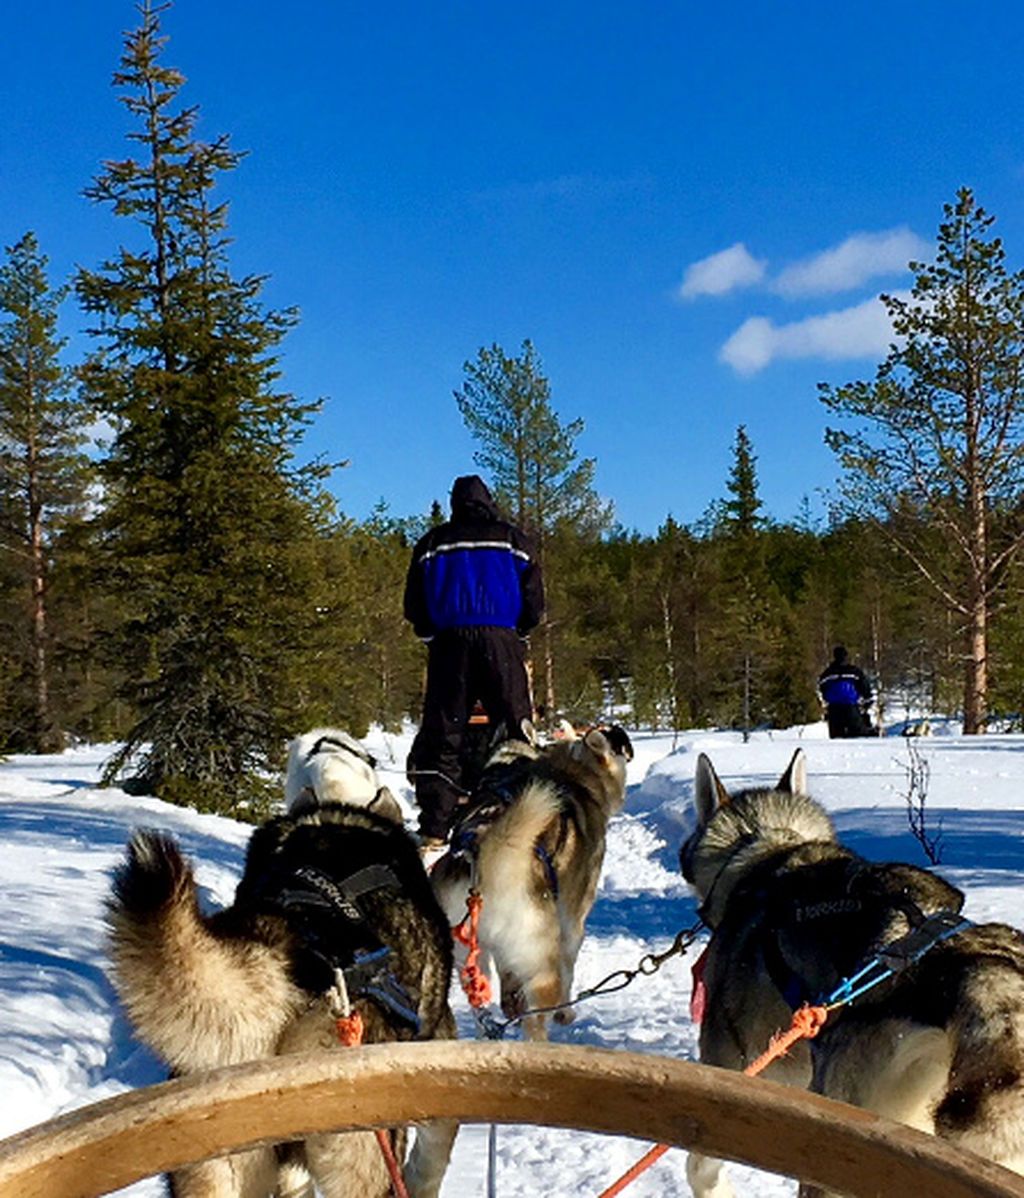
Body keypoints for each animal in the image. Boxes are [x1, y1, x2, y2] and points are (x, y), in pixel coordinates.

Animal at [431, 718, 632, 1039]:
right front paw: (565, 1013)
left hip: (471, 962)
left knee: (482, 1012)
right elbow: (569, 966)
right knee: (535, 1021)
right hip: (541, 967)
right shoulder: (572, 923)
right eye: (616, 741)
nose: (617, 729)